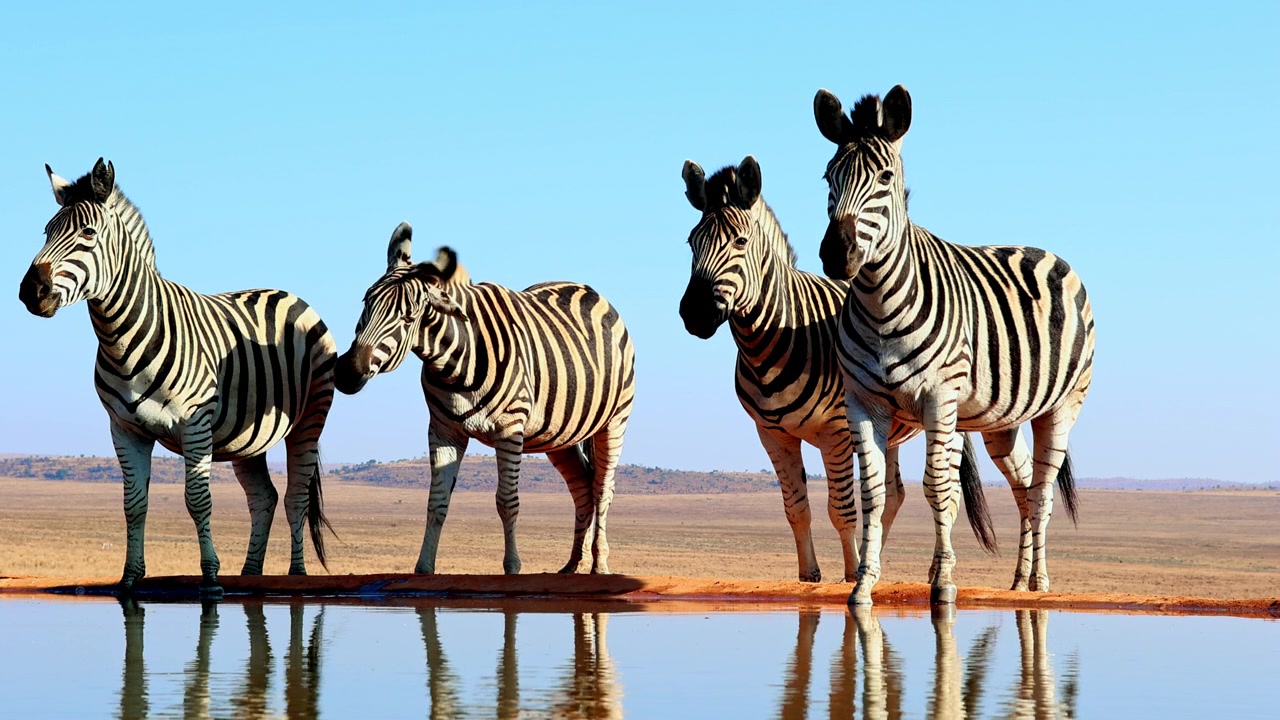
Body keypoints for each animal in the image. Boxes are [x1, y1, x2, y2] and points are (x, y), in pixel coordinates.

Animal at [19, 158, 337, 597]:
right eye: (47, 232)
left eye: (88, 233)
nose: (30, 290)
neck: (122, 337)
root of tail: (287, 293)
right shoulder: (124, 429)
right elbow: (134, 504)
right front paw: (129, 579)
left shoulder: (195, 424)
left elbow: (197, 500)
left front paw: (211, 579)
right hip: (247, 439)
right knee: (264, 498)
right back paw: (250, 576)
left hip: (309, 419)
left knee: (296, 499)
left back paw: (296, 577)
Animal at [334, 223, 636, 575]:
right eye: (365, 304)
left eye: (408, 318)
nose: (346, 372)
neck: (456, 363)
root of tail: (589, 290)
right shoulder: (443, 430)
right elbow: (436, 501)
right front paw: (424, 567)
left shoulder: (509, 428)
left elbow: (507, 501)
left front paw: (512, 566)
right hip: (558, 435)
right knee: (583, 486)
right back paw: (575, 564)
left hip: (614, 420)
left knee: (602, 488)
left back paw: (599, 564)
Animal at [678, 155, 996, 583]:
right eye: (691, 242)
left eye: (740, 242)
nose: (694, 313)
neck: (771, 340)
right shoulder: (771, 434)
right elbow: (796, 508)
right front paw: (811, 575)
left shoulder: (837, 433)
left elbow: (842, 509)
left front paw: (849, 574)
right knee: (894, 494)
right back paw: (876, 557)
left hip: (948, 417)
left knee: (948, 492)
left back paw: (930, 570)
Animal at [813, 85, 1095, 605]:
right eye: (828, 176)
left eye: (885, 177)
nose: (836, 253)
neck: (879, 301)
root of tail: (1049, 253)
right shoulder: (862, 401)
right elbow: (873, 494)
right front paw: (862, 583)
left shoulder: (938, 397)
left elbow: (938, 488)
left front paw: (944, 582)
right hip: (1000, 422)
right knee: (1025, 485)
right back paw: (1019, 579)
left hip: (1063, 406)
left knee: (1043, 492)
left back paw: (1040, 583)